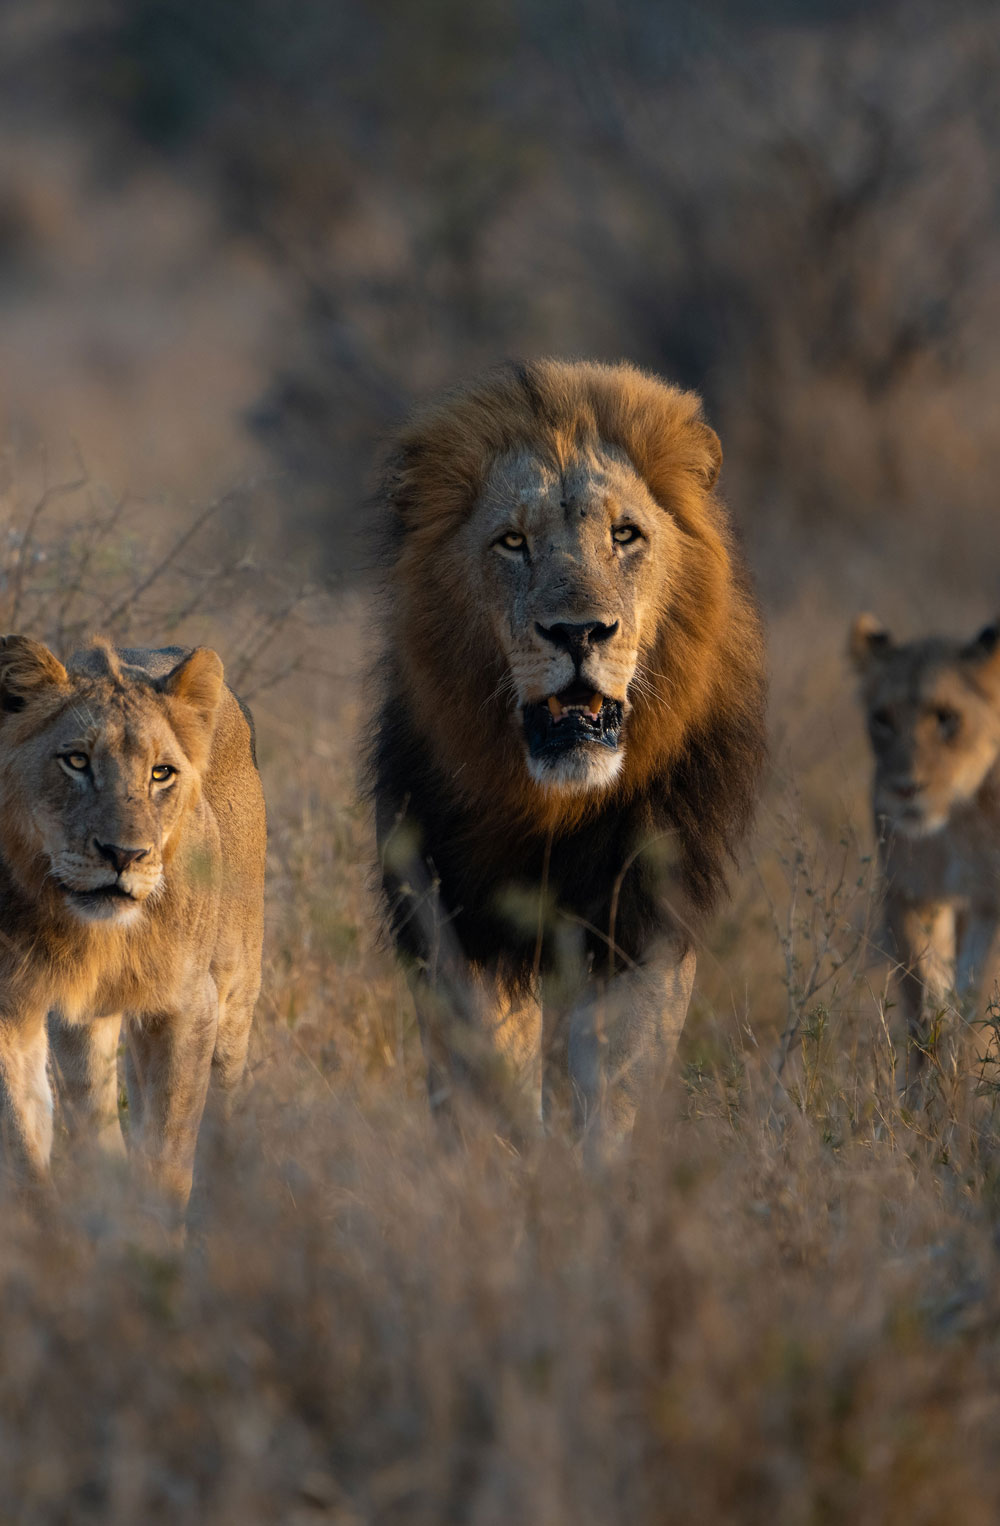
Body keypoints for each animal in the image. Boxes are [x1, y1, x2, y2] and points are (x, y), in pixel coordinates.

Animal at [0, 635, 265, 1217]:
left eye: (161, 773)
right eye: (76, 761)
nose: (124, 855)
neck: (93, 934)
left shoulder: (190, 1005)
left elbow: (168, 1158)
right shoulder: (12, 1005)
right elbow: (25, 1153)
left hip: (237, 990)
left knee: (222, 1109)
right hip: (84, 1022)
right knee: (94, 1117)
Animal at [369, 359, 766, 1143]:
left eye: (625, 534)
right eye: (512, 542)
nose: (579, 632)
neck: (549, 802)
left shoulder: (638, 918)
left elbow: (611, 1077)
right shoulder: (454, 915)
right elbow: (486, 1066)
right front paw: (504, 1157)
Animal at [850, 612, 1000, 1093]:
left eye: (947, 718)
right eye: (882, 719)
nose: (904, 788)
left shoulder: (994, 903)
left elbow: (977, 1002)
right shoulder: (910, 892)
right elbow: (926, 1004)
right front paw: (925, 1095)